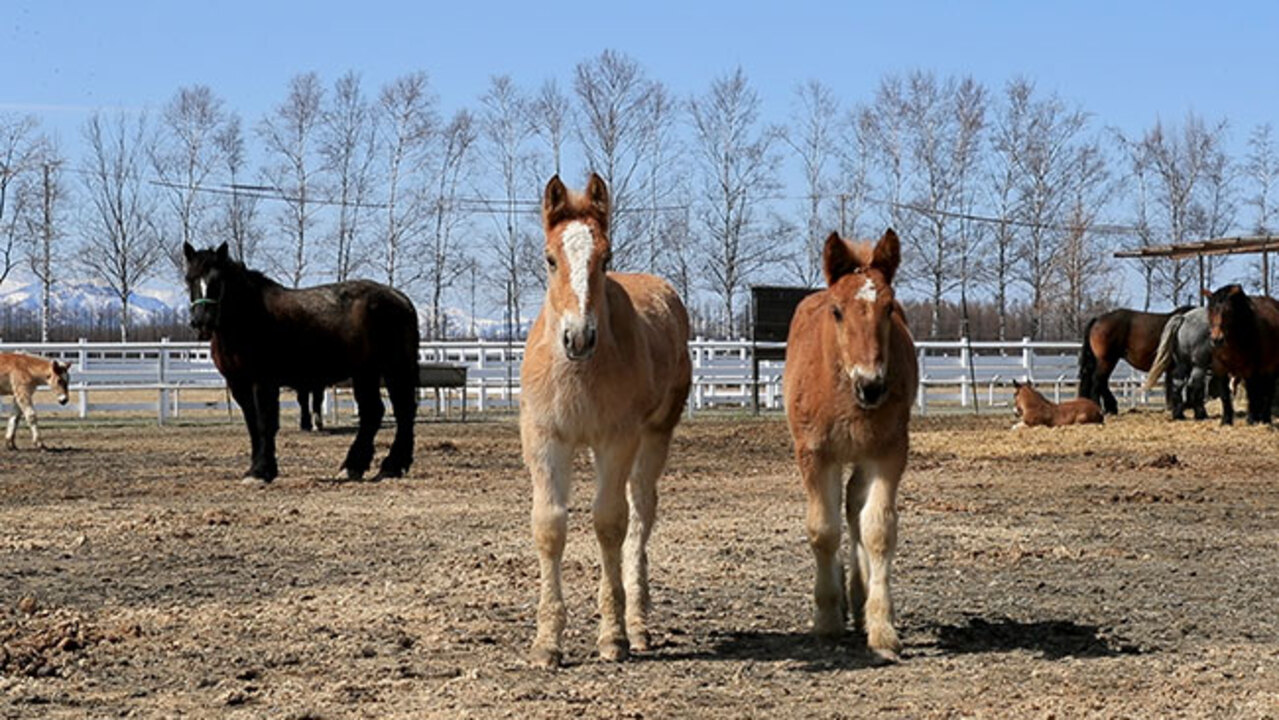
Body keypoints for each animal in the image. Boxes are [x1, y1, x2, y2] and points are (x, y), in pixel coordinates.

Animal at [183, 242, 420, 483]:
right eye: (189, 279)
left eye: (218, 280)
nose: (201, 320)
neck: (248, 319)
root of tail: (399, 298)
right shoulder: (238, 383)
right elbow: (252, 425)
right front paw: (256, 469)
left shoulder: (263, 381)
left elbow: (265, 423)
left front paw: (261, 471)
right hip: (365, 372)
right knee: (374, 412)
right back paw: (356, 466)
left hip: (393, 368)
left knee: (403, 411)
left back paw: (390, 466)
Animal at [519, 174, 691, 668]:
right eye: (549, 258)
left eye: (606, 257)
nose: (578, 337)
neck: (575, 373)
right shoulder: (544, 439)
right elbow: (550, 526)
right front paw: (547, 642)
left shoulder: (616, 439)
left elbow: (610, 523)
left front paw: (612, 636)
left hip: (654, 436)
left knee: (641, 513)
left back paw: (638, 624)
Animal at [783, 228, 918, 662]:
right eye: (838, 311)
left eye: (889, 308)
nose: (871, 385)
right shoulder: (814, 454)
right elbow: (823, 530)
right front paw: (826, 618)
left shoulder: (889, 452)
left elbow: (877, 529)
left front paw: (881, 627)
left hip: (862, 453)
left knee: (855, 505)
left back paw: (859, 600)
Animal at [1205, 284, 1279, 425]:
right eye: (1210, 310)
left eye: (1228, 311)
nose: (1217, 339)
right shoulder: (1220, 369)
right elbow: (1224, 395)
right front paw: (1226, 420)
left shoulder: (1250, 369)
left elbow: (1251, 393)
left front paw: (1251, 419)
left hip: (1271, 367)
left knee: (1269, 391)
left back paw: (1265, 418)